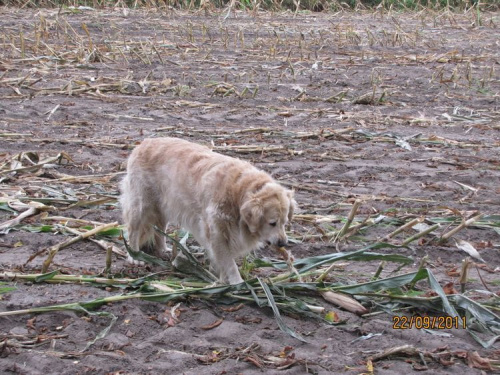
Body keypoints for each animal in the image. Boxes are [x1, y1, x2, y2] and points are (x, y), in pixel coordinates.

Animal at [119, 138, 294, 284]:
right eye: (272, 223)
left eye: (285, 223)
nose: (283, 243)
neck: (239, 191)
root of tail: (143, 143)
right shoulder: (216, 234)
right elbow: (229, 263)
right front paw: (238, 282)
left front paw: (223, 280)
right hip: (141, 205)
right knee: (133, 231)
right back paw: (134, 255)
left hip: (163, 206)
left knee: (159, 229)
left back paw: (163, 250)